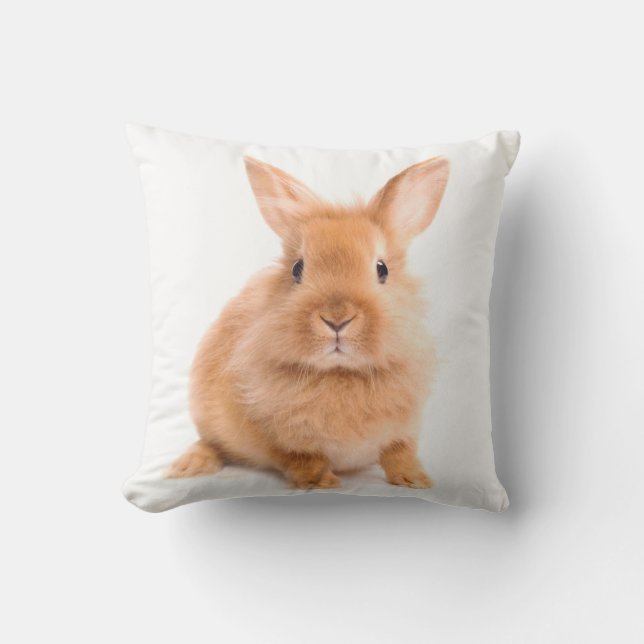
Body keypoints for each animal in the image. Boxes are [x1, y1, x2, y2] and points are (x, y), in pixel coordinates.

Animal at [167, 154, 450, 489]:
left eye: (382, 269)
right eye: (297, 269)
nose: (337, 318)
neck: (340, 374)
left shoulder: (403, 429)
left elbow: (399, 453)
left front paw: (416, 481)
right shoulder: (278, 439)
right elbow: (303, 459)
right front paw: (323, 483)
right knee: (210, 443)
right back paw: (187, 467)